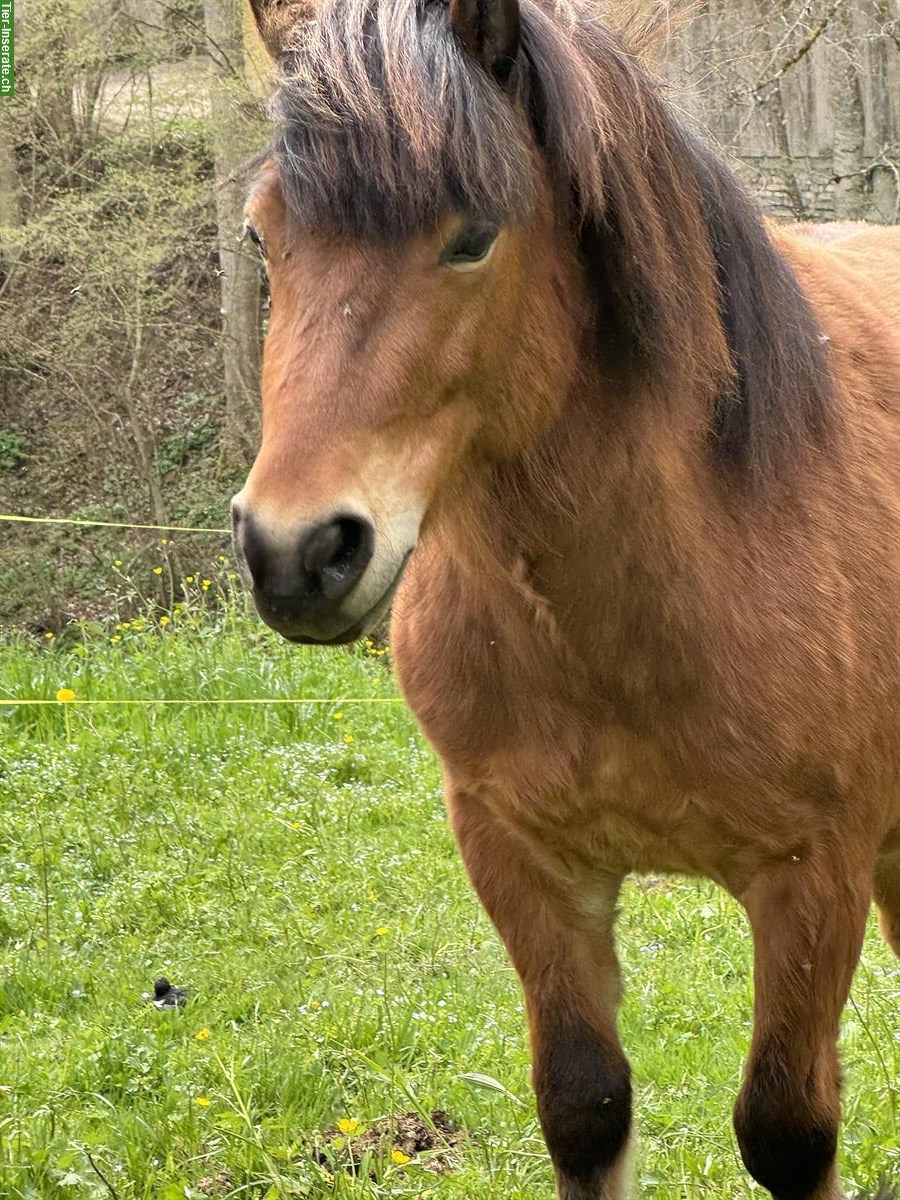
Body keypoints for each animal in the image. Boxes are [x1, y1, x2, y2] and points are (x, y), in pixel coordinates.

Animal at [232, 0, 900, 1195]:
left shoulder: (816, 877)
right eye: (265, 236)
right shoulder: (520, 856)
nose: (298, 552)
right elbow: (585, 1105)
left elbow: (787, 1126)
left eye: (472, 236)